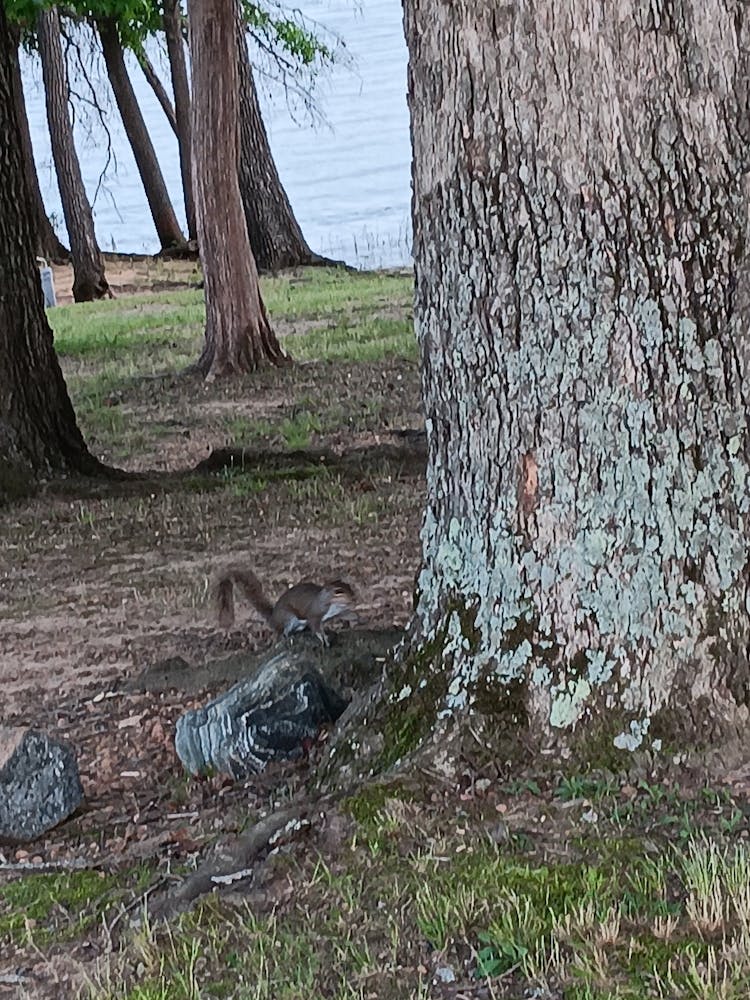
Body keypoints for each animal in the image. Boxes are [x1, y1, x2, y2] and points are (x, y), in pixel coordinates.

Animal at [214, 567, 357, 646]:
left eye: (349, 586)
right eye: (338, 591)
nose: (353, 597)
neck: (332, 604)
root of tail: (273, 618)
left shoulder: (340, 611)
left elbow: (347, 614)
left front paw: (357, 618)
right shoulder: (315, 614)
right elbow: (316, 627)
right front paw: (323, 638)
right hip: (288, 618)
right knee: (284, 632)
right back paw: (288, 637)